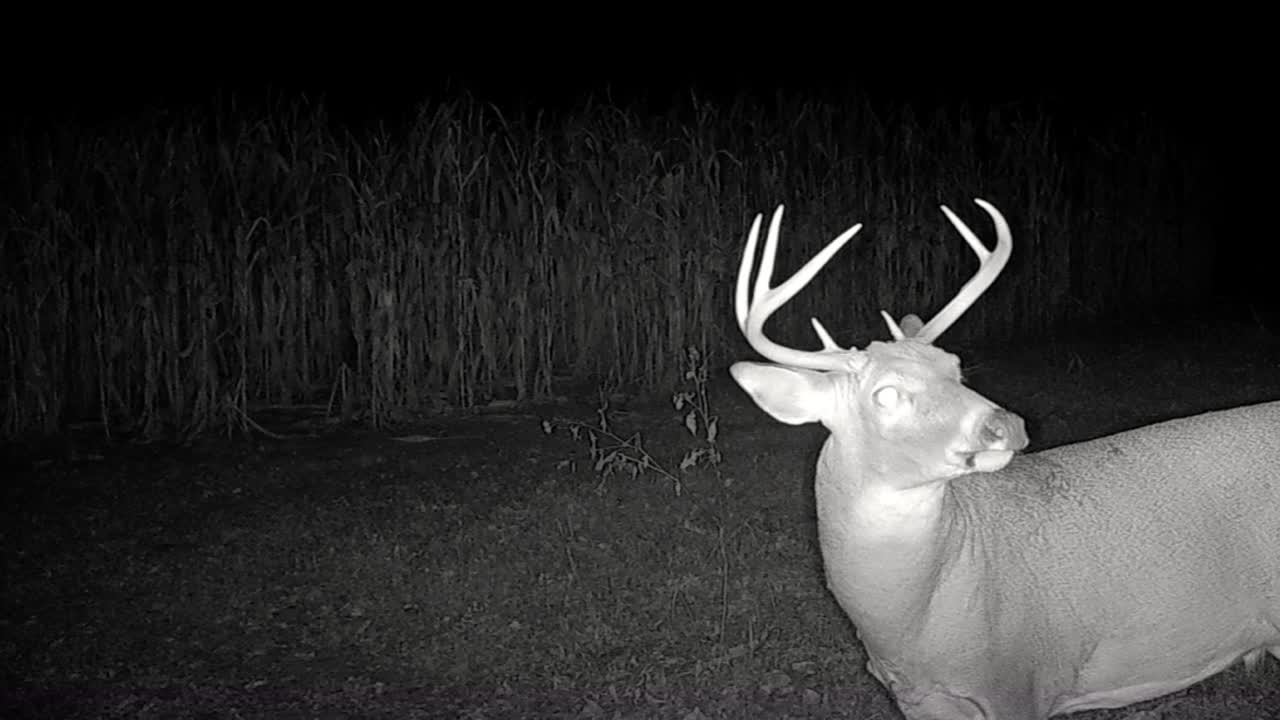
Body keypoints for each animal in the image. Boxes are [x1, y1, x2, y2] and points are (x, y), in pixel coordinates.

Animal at [729, 199, 1280, 719]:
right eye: (884, 394)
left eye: (954, 367)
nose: (1005, 425)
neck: (912, 626)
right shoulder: (916, 699)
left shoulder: (1021, 678)